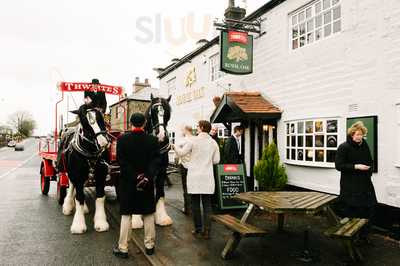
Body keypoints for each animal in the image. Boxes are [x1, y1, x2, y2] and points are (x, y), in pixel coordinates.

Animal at [61, 105, 111, 234]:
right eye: (85, 122)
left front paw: (101, 222)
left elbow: (100, 197)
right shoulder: (77, 175)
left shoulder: (101, 174)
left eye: (101, 118)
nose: (103, 142)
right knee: (72, 186)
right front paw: (78, 225)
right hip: (70, 172)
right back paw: (68, 206)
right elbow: (79, 198)